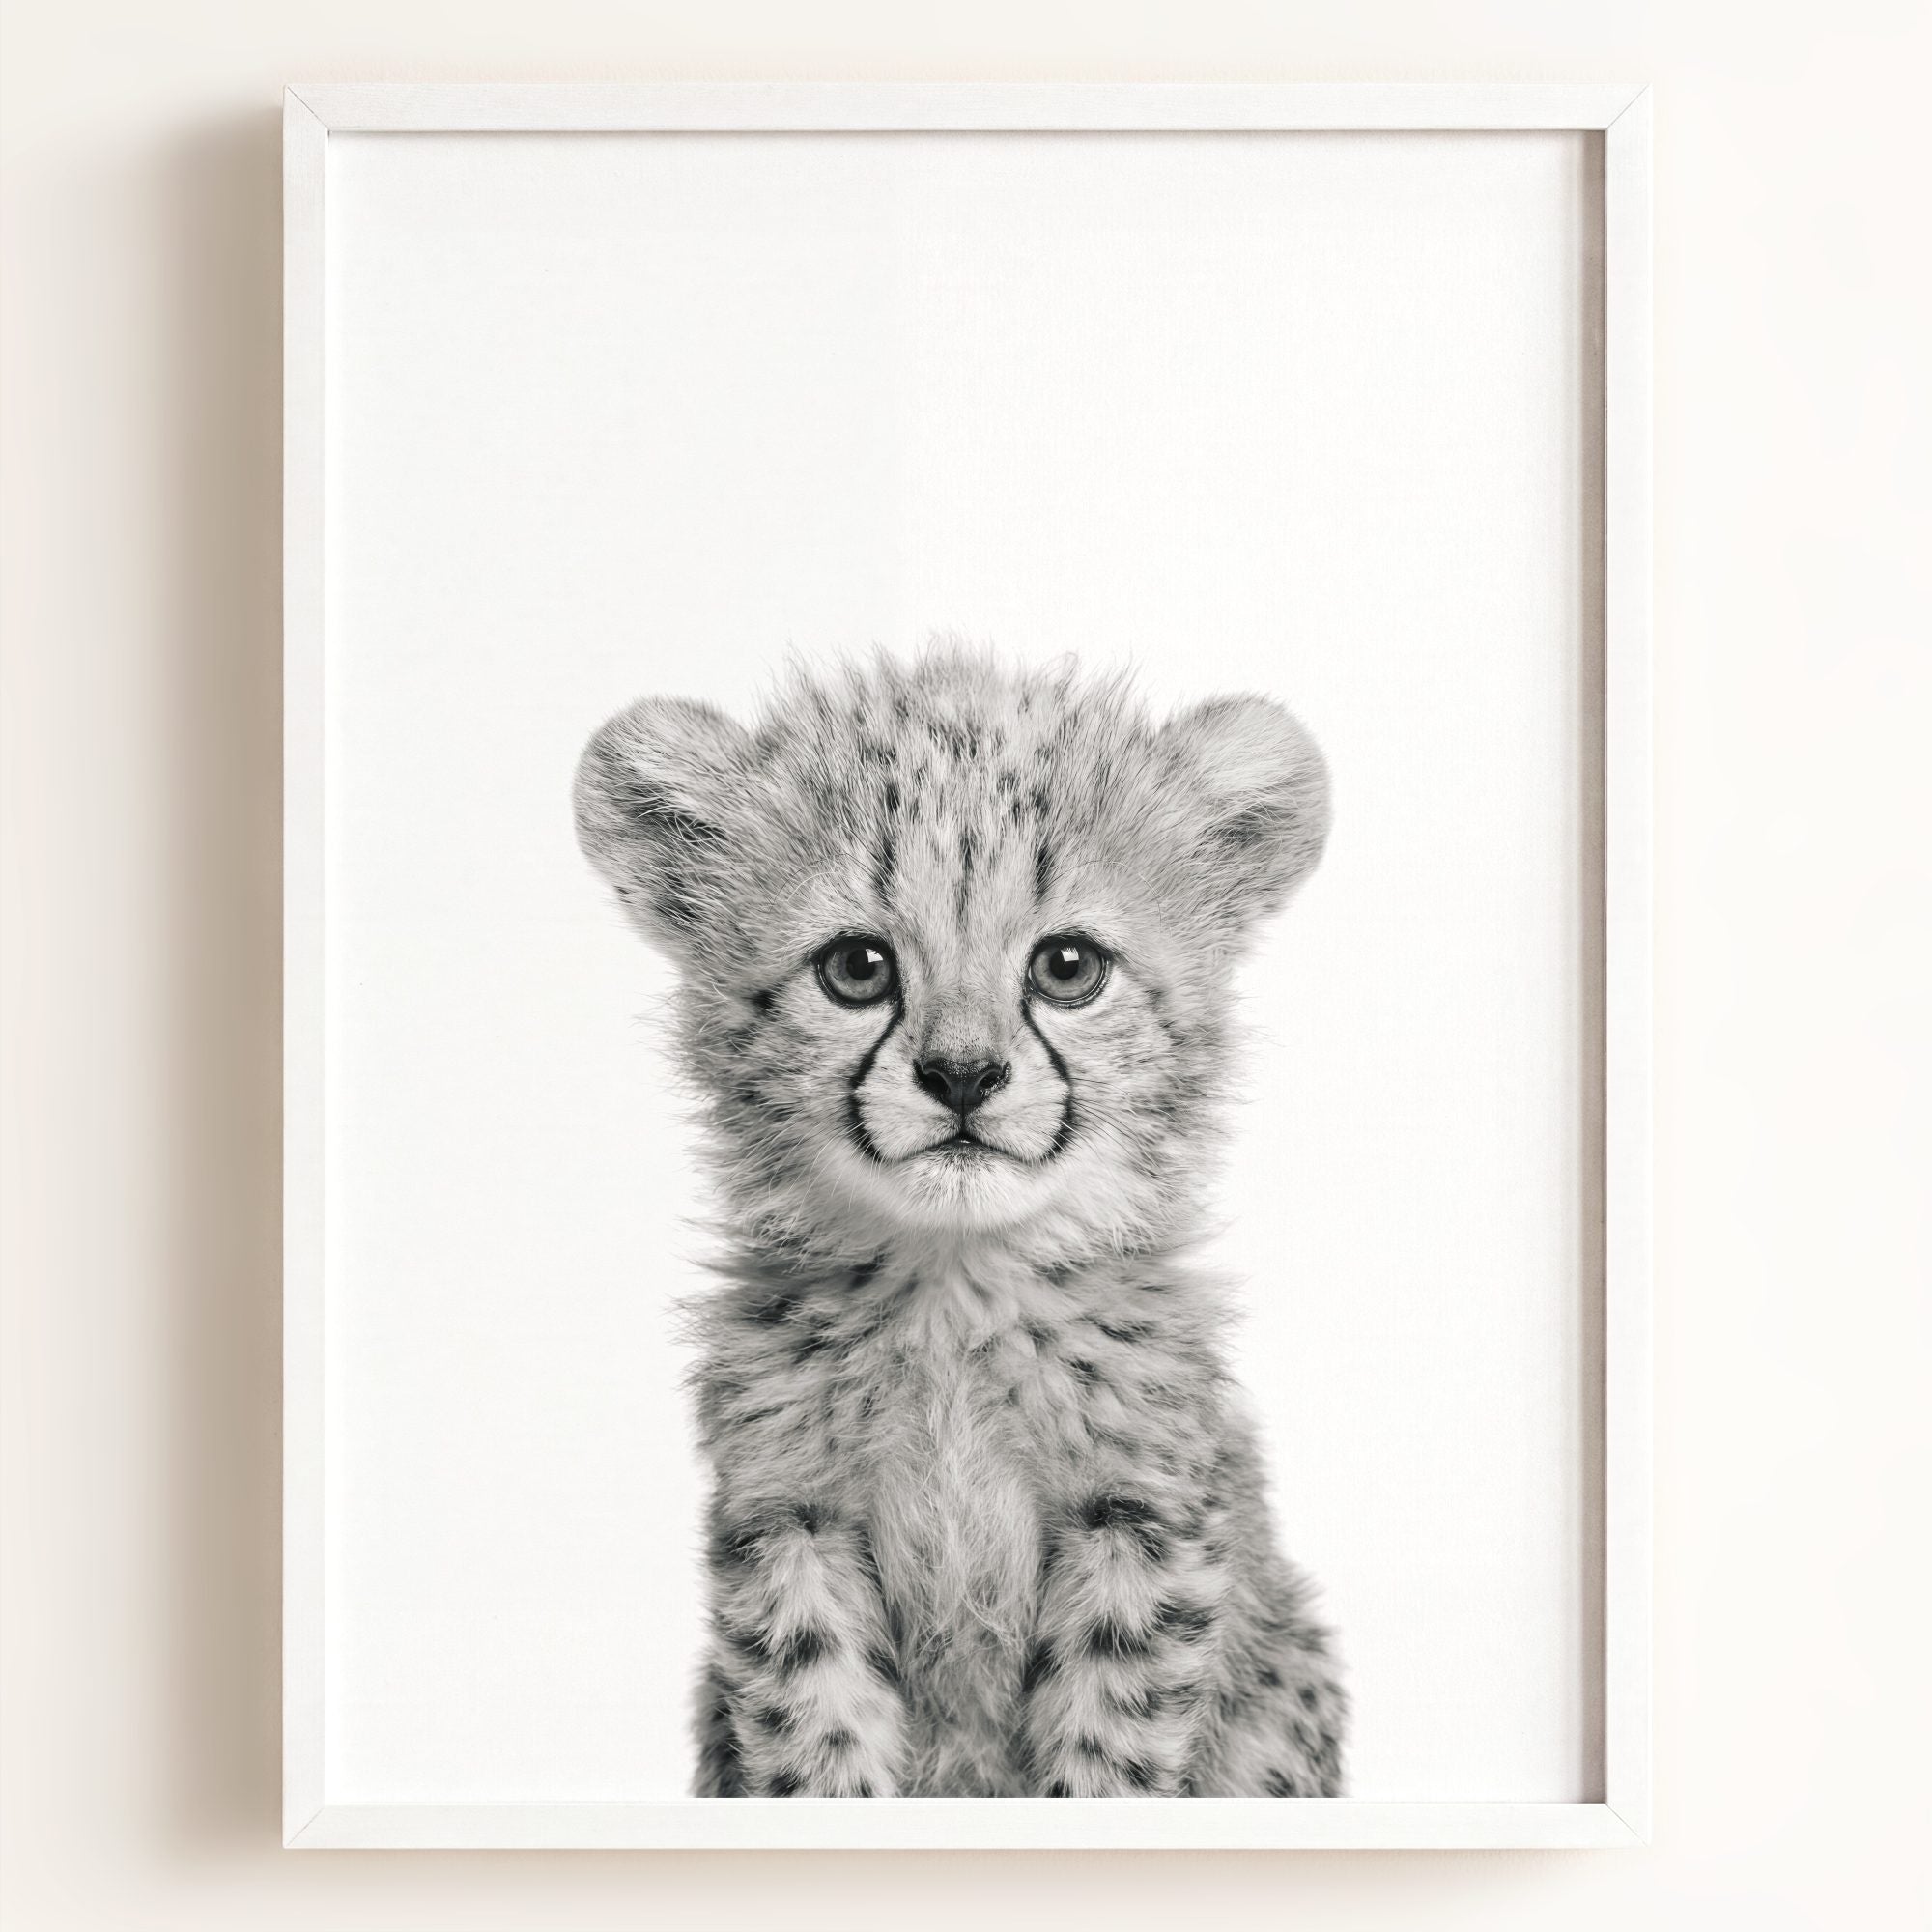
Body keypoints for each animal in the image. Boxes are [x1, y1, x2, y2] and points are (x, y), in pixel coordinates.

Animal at [574, 645, 1347, 1798]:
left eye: (1067, 967)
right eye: (857, 967)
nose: (962, 1075)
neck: (954, 1286)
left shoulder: (1138, 1518)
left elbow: (1110, 1749)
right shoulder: (789, 1522)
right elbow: (816, 1738)